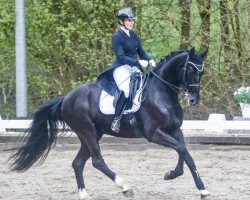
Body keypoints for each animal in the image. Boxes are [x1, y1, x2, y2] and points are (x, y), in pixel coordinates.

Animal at [8, 47, 209, 198]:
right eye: (190, 70)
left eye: (202, 72)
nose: (193, 100)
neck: (162, 92)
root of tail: (66, 98)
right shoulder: (153, 134)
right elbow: (181, 149)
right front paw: (198, 186)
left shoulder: (175, 130)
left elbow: (184, 152)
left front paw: (181, 179)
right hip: (87, 132)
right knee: (97, 161)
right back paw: (125, 187)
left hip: (92, 134)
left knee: (78, 163)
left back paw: (84, 194)